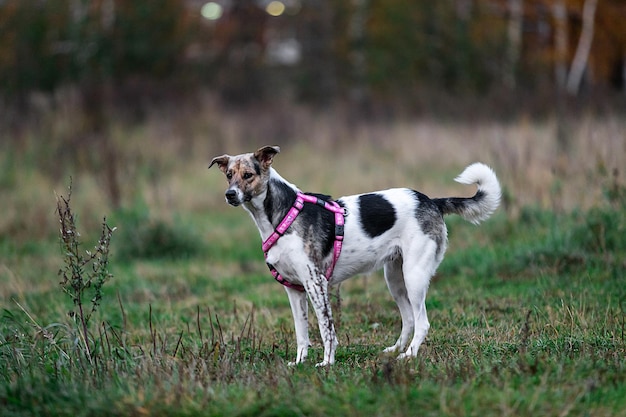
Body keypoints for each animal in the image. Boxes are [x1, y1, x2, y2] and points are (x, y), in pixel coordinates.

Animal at [207, 145, 500, 364]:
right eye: (229, 175)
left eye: (248, 175)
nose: (230, 194)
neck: (283, 214)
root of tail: (431, 202)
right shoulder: (294, 290)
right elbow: (302, 333)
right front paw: (300, 363)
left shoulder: (316, 283)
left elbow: (326, 329)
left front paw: (327, 363)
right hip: (395, 279)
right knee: (408, 319)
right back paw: (395, 350)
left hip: (414, 277)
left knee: (422, 322)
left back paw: (408, 356)